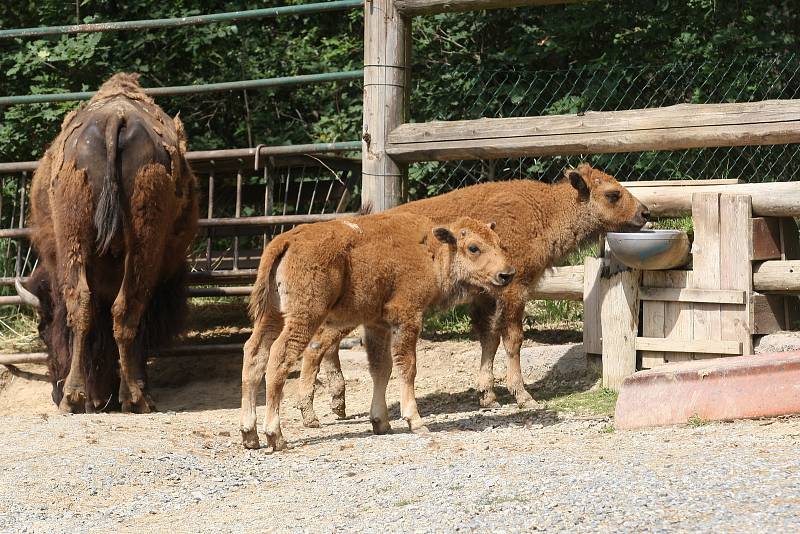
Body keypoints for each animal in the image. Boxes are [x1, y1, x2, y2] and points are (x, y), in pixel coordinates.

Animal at [20, 73, 198, 414]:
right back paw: (132, 398)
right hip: (140, 246)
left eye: (42, 329)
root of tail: (114, 118)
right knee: (124, 310)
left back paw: (77, 397)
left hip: (79, 239)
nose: (53, 390)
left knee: (87, 307)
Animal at [241, 214, 512, 452]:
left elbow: (381, 369)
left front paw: (381, 422)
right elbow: (407, 367)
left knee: (254, 355)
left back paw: (249, 435)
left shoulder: (376, 325)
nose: (507, 274)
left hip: (272, 315)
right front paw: (415, 421)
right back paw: (275, 436)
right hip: (305, 316)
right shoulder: (407, 317)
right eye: (474, 248)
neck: (433, 250)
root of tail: (287, 240)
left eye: (499, 242)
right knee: (279, 358)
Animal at [296, 165, 648, 426]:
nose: (644, 212)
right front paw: (522, 396)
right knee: (317, 346)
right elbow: (512, 339)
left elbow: (488, 339)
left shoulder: (485, 299)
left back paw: (338, 405)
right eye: (613, 194)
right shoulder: (513, 291)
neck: (543, 212)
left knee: (326, 345)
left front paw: (487, 396)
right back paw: (311, 415)